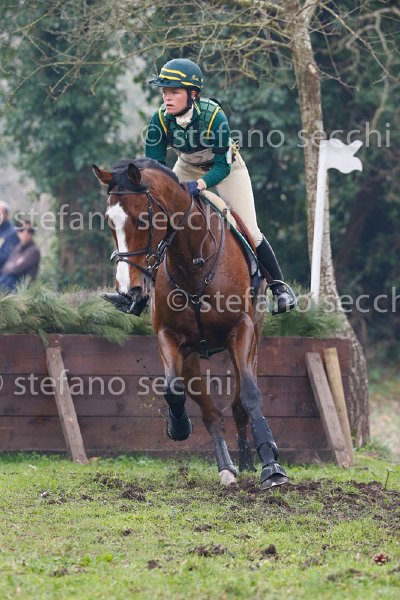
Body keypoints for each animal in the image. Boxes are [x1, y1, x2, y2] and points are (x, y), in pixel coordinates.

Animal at [93, 158, 288, 489]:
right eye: (109, 222)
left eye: (143, 220)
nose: (128, 290)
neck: (193, 261)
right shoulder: (170, 337)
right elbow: (173, 390)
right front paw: (178, 427)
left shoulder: (242, 329)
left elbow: (250, 395)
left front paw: (272, 467)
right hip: (193, 354)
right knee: (210, 411)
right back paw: (227, 467)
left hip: (251, 337)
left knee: (239, 403)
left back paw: (249, 460)